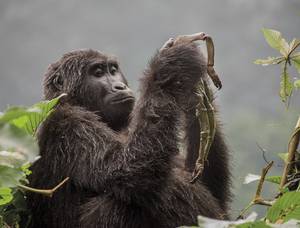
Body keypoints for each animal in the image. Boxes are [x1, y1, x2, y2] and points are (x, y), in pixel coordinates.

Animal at [27, 34, 230, 228]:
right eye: (98, 73)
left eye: (113, 70)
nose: (120, 86)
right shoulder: (69, 125)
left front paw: (193, 91)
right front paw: (172, 65)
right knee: (117, 203)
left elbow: (210, 188)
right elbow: (127, 172)